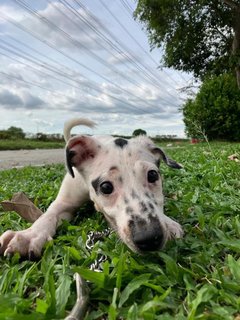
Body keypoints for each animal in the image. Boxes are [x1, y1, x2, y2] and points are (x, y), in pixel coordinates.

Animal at [0, 119, 183, 258]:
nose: (150, 238)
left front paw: (169, 223)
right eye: (106, 187)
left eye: (152, 175)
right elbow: (48, 215)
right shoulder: (65, 202)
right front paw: (30, 235)